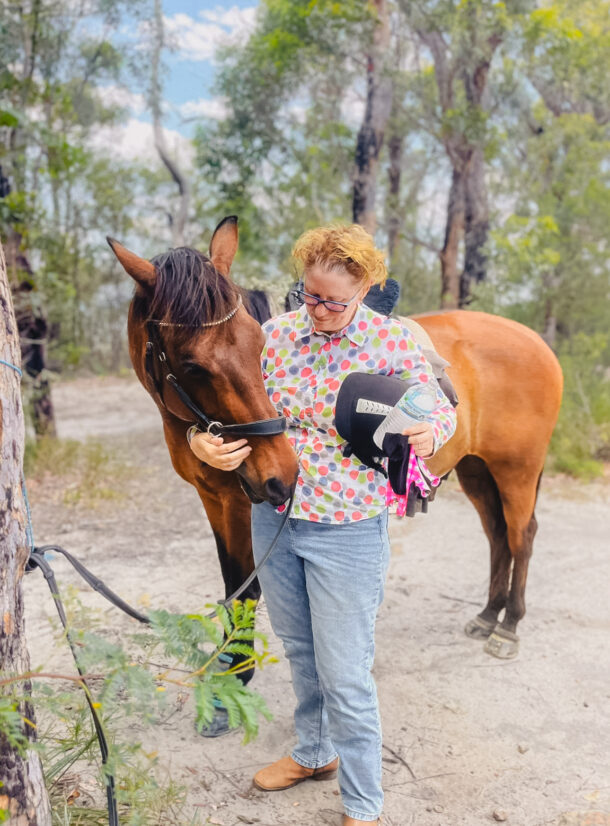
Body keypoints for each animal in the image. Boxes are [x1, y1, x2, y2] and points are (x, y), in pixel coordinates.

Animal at [107, 217, 299, 683]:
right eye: (193, 366)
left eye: (258, 342)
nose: (284, 474)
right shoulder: (212, 497)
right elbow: (232, 580)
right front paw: (230, 658)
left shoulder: (241, 503)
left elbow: (247, 586)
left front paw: (239, 669)